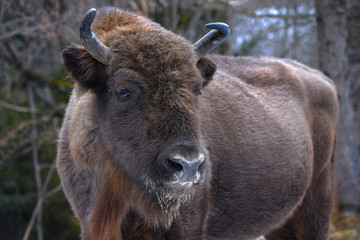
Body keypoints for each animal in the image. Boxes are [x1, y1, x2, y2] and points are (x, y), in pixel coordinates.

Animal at [56, 7, 338, 240]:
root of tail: (323, 81)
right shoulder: (90, 224)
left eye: (198, 90)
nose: (188, 164)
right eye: (123, 92)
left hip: (316, 204)